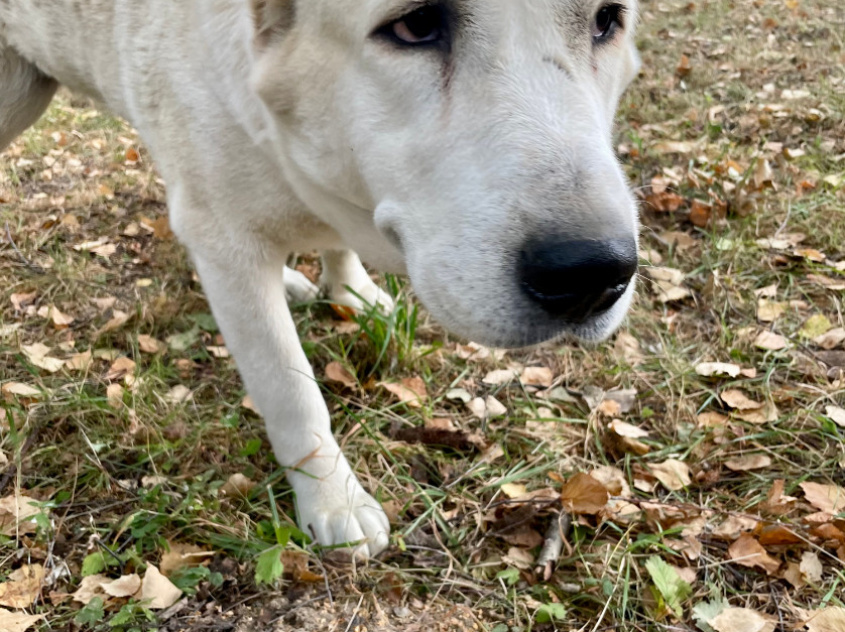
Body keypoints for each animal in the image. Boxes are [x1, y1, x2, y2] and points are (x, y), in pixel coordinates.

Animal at [0, 0, 632, 556]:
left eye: (606, 20)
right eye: (416, 25)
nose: (594, 274)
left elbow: (334, 243)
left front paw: (347, 290)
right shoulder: (227, 245)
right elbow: (292, 394)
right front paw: (333, 500)